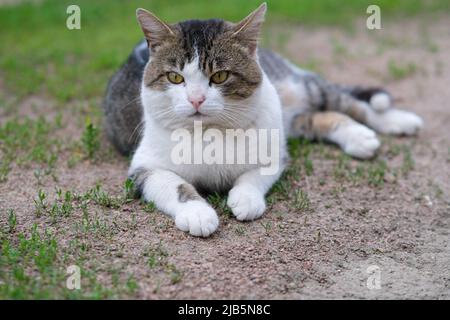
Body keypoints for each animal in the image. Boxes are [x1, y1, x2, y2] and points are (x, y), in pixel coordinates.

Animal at [103, 3, 424, 238]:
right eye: (174, 77)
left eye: (220, 76)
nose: (196, 99)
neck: (211, 133)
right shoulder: (144, 166)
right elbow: (174, 185)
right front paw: (198, 213)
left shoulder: (273, 150)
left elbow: (254, 175)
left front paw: (246, 199)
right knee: (319, 117)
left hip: (299, 88)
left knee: (347, 103)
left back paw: (394, 123)